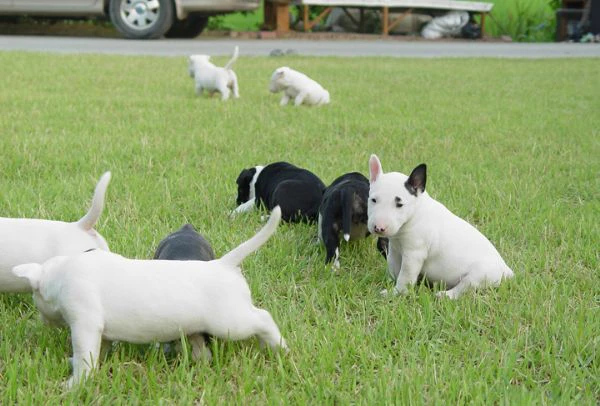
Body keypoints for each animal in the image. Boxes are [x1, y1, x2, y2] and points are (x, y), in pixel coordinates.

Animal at [14, 206, 286, 386]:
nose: (44, 321)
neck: (62, 272)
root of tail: (223, 264)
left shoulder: (85, 324)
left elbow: (84, 356)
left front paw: (74, 384)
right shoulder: (100, 333)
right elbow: (100, 350)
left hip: (231, 322)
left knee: (263, 318)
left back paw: (279, 347)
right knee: (204, 350)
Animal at [368, 154, 512, 300]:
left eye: (400, 205)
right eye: (373, 200)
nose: (378, 228)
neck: (414, 214)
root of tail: (506, 270)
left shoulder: (413, 255)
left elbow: (405, 276)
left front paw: (397, 293)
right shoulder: (395, 250)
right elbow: (393, 268)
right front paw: (389, 283)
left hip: (478, 275)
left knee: (463, 288)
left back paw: (444, 295)